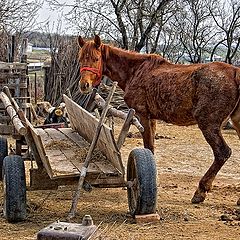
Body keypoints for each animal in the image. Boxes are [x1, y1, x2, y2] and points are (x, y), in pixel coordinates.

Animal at [77, 35, 240, 204]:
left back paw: (200, 191)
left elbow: (148, 146)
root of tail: (234, 71)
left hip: (208, 124)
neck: (135, 71)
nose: (84, 85)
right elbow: (152, 147)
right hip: (236, 123)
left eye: (96, 59)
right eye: (80, 58)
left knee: (222, 153)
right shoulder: (152, 118)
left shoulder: (142, 115)